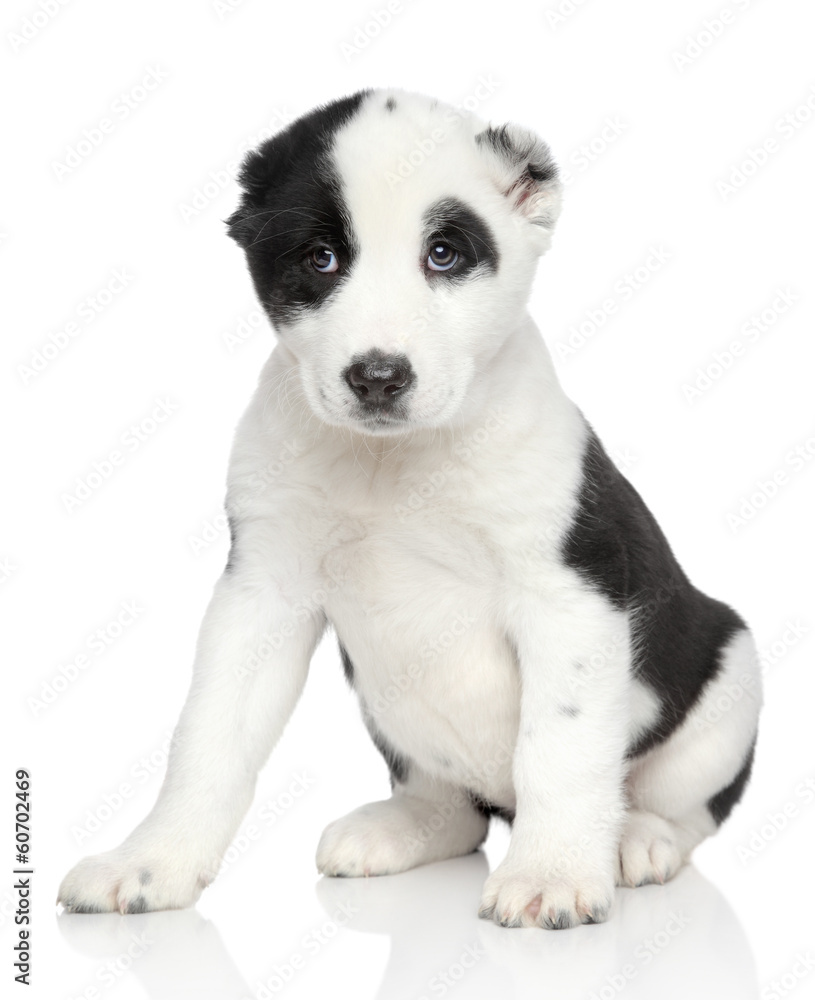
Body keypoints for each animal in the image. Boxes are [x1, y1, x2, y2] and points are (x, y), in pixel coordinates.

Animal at [60, 88, 760, 928]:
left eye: (445, 255)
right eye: (320, 259)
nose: (377, 377)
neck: (395, 462)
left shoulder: (569, 597)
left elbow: (560, 747)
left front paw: (553, 874)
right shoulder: (259, 595)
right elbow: (208, 737)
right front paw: (151, 860)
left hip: (728, 680)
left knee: (683, 807)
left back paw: (634, 840)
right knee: (452, 812)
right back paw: (403, 827)